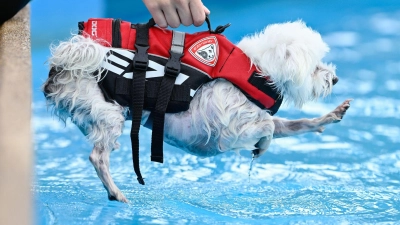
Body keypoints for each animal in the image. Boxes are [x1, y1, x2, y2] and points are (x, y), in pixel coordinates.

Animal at [42, 20, 350, 202]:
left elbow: (292, 124)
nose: (335, 79)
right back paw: (116, 192)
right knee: (97, 156)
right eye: (316, 67)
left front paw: (329, 117)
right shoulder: (227, 134)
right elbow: (270, 127)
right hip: (106, 111)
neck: (257, 72)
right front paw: (262, 146)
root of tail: (63, 65)